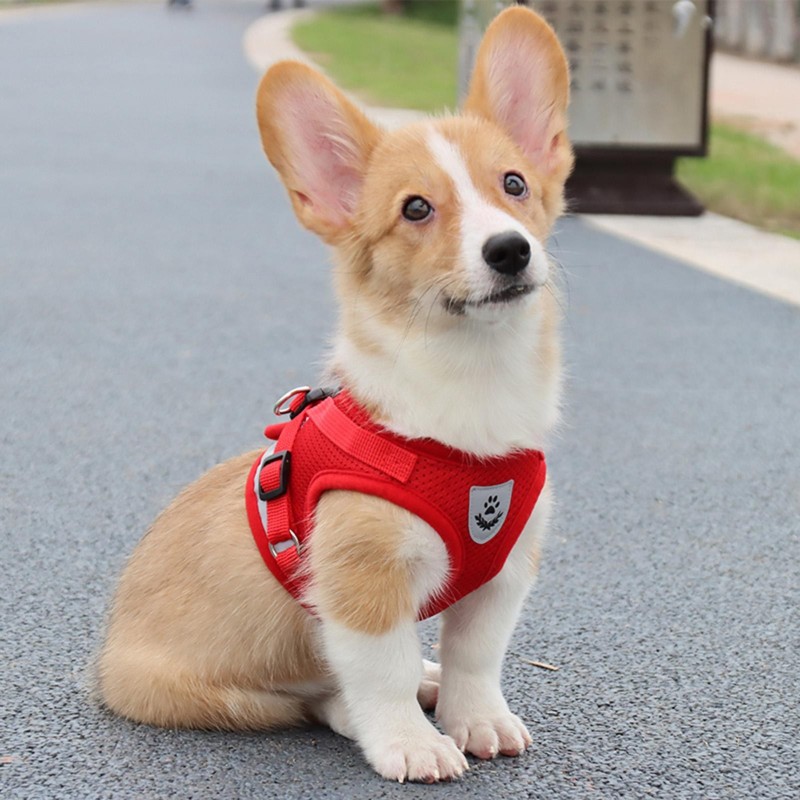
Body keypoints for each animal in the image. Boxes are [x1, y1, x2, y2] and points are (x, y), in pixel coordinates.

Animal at [98, 4, 576, 780]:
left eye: (513, 184)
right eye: (415, 209)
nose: (510, 250)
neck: (469, 395)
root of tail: (106, 662)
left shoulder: (504, 576)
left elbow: (477, 659)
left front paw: (479, 720)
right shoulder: (361, 581)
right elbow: (381, 671)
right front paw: (412, 743)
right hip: (234, 697)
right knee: (319, 696)